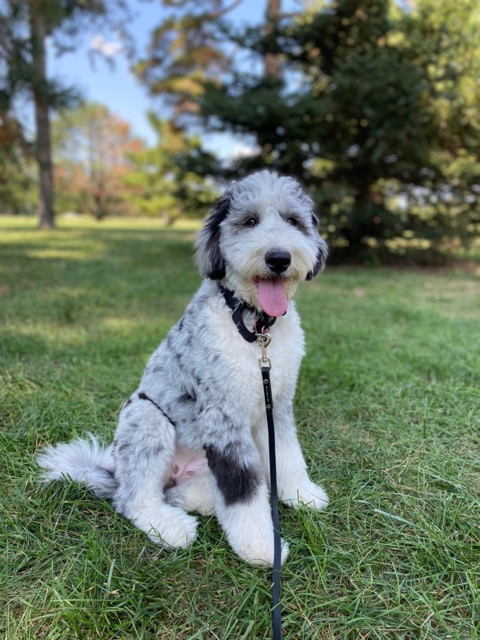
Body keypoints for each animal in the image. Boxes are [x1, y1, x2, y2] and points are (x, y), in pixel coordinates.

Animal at [38, 169, 330, 564]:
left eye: (293, 221)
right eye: (249, 221)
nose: (279, 258)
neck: (253, 327)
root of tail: (113, 470)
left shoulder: (277, 406)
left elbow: (286, 455)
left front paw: (300, 493)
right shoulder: (224, 420)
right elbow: (242, 492)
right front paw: (260, 547)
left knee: (201, 490)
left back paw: (187, 500)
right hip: (146, 417)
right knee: (133, 499)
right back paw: (169, 527)